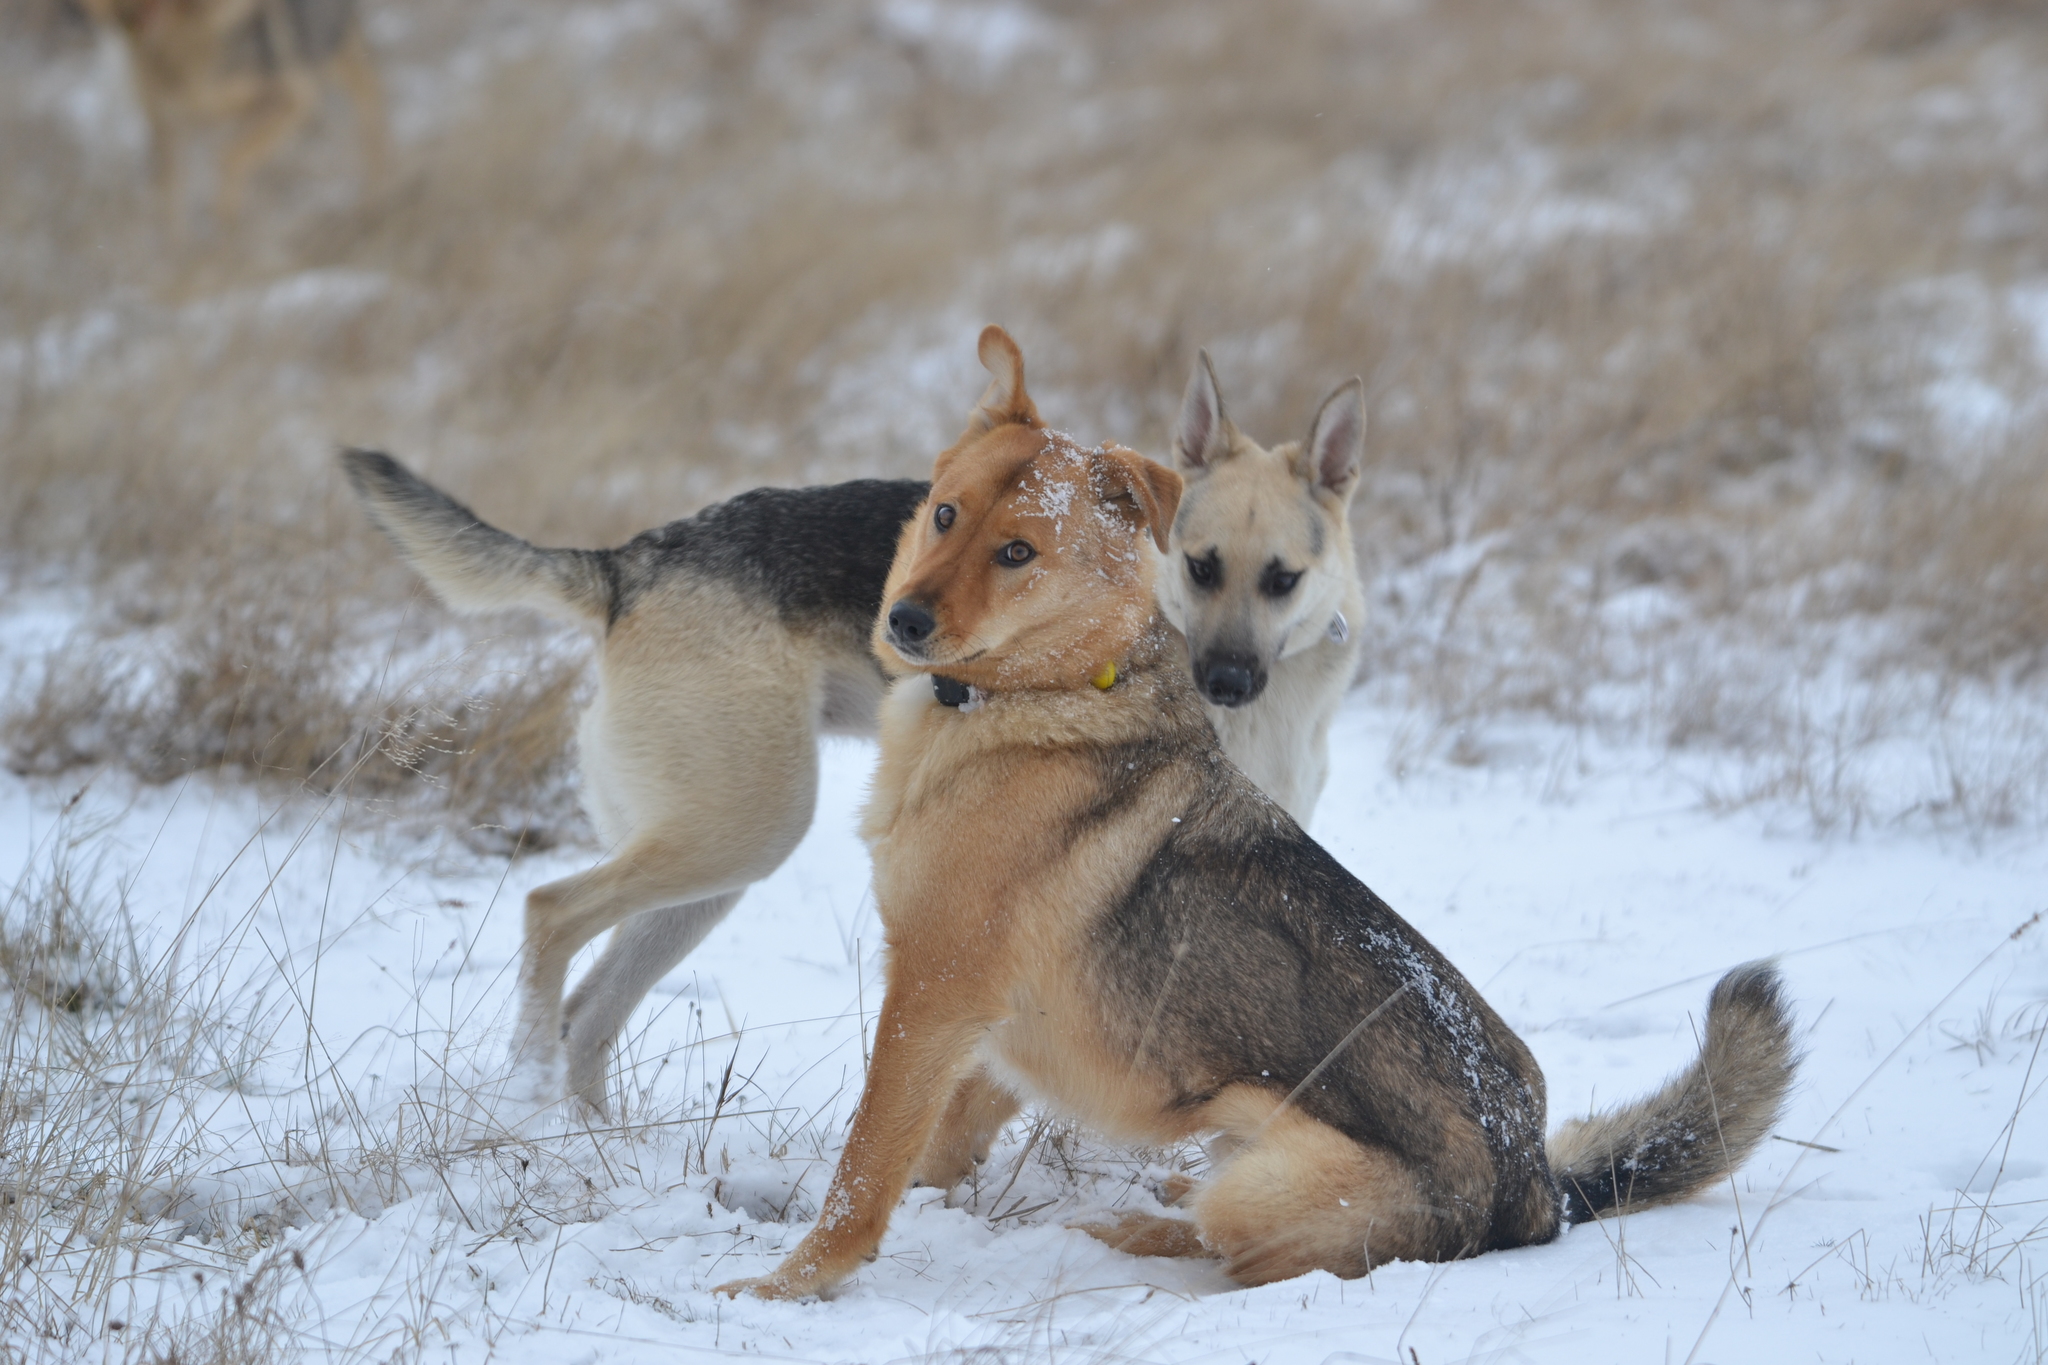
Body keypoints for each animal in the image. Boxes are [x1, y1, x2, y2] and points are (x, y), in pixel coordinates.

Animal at [80, 0, 387, 229]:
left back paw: (375, 196)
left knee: (371, 116)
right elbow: (171, 205)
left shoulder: (293, 95)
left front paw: (228, 231)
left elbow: (229, 160)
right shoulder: (167, 125)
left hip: (340, 57)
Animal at [716, 325, 1794, 1301]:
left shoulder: (931, 994)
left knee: (1230, 1247)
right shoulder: (979, 1029)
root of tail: (1535, 1187)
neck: (1035, 694)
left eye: (1018, 551)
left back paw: (1128, 1229)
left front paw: (786, 1287)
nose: (901, 620)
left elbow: (865, 1172)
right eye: (944, 513)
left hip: (1264, 1156)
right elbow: (935, 1148)